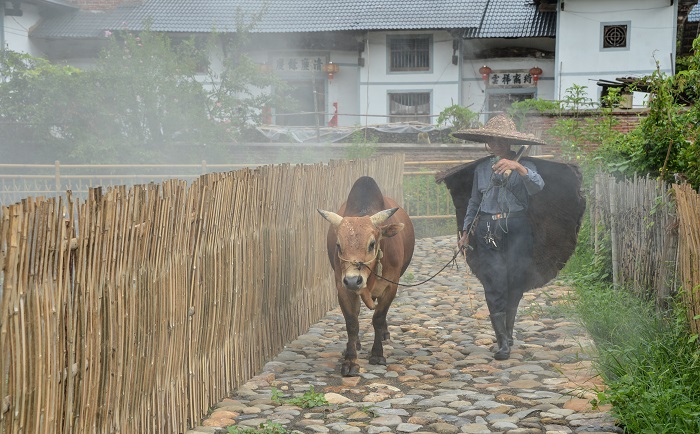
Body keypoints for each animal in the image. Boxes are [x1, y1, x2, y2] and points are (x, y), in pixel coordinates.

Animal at [318, 176, 412, 376]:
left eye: (372, 244)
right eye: (338, 245)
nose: (354, 280)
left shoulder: (391, 286)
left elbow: (378, 318)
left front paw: (377, 354)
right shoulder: (342, 287)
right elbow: (352, 322)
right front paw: (350, 360)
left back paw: (383, 334)